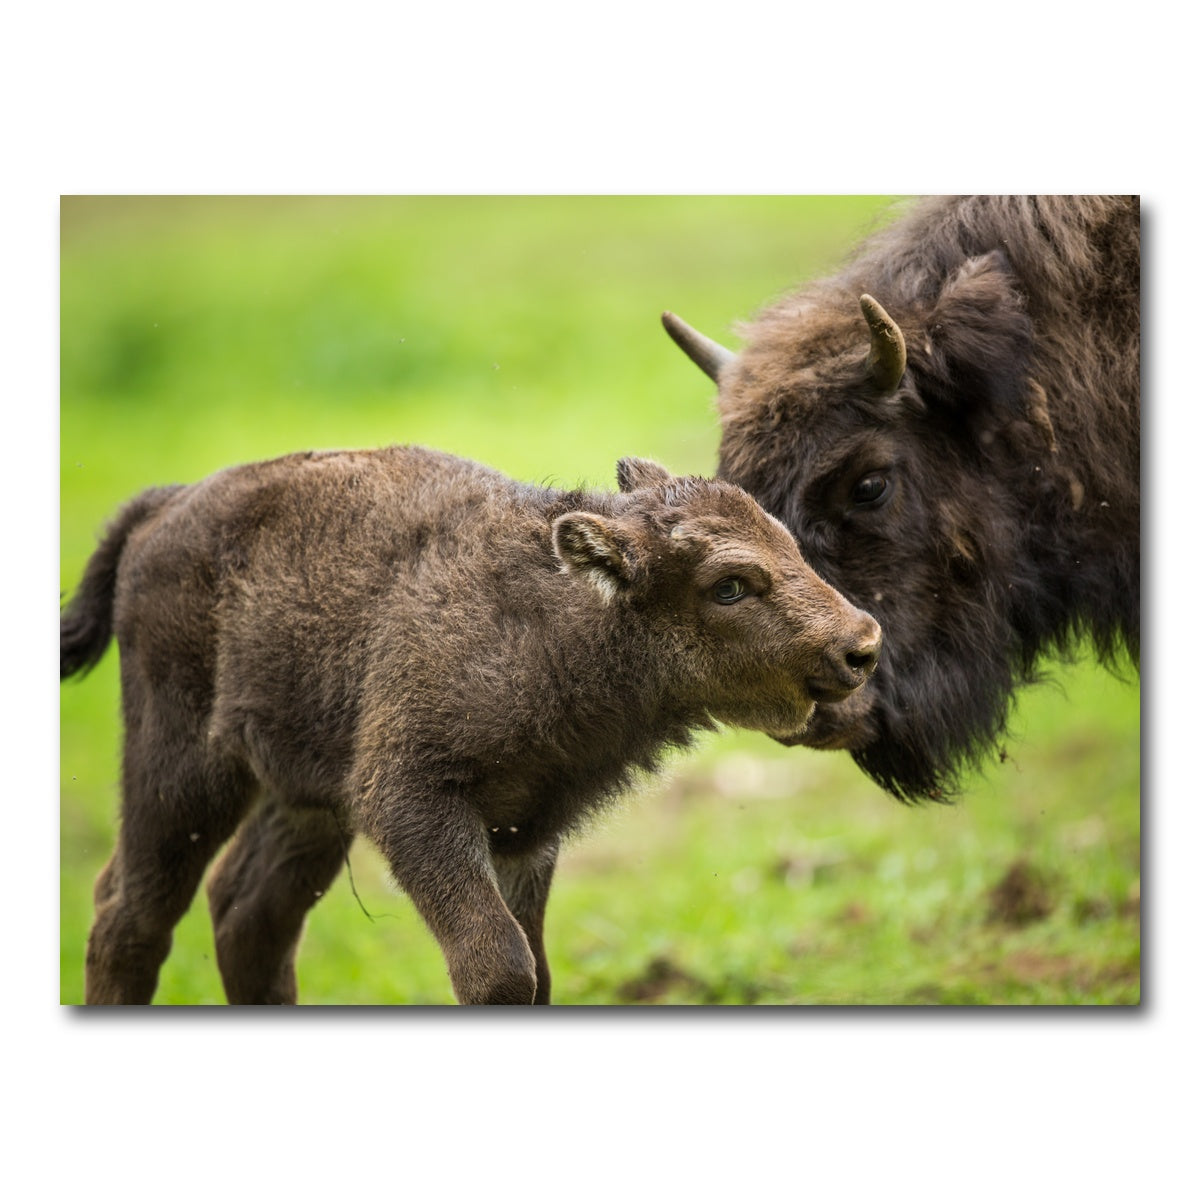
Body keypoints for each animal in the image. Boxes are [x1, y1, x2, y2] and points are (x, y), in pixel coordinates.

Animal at [60, 446, 881, 1004]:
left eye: (789, 542)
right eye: (729, 585)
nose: (861, 646)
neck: (560, 619)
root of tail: (163, 507)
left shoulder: (525, 831)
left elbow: (536, 966)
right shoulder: (414, 802)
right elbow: (500, 967)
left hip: (306, 801)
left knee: (249, 914)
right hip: (182, 771)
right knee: (131, 912)